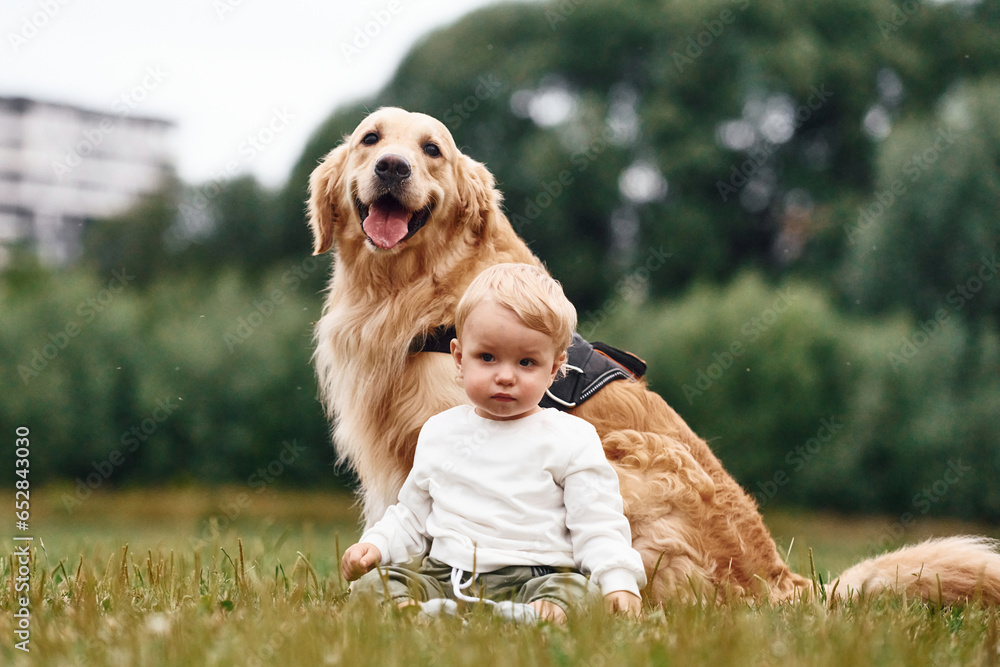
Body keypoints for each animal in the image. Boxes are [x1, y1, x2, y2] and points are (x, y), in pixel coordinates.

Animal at [308, 108, 1000, 604]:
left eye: (432, 150)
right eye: (371, 139)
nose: (392, 167)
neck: (418, 290)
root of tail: (786, 587)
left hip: (629, 460)